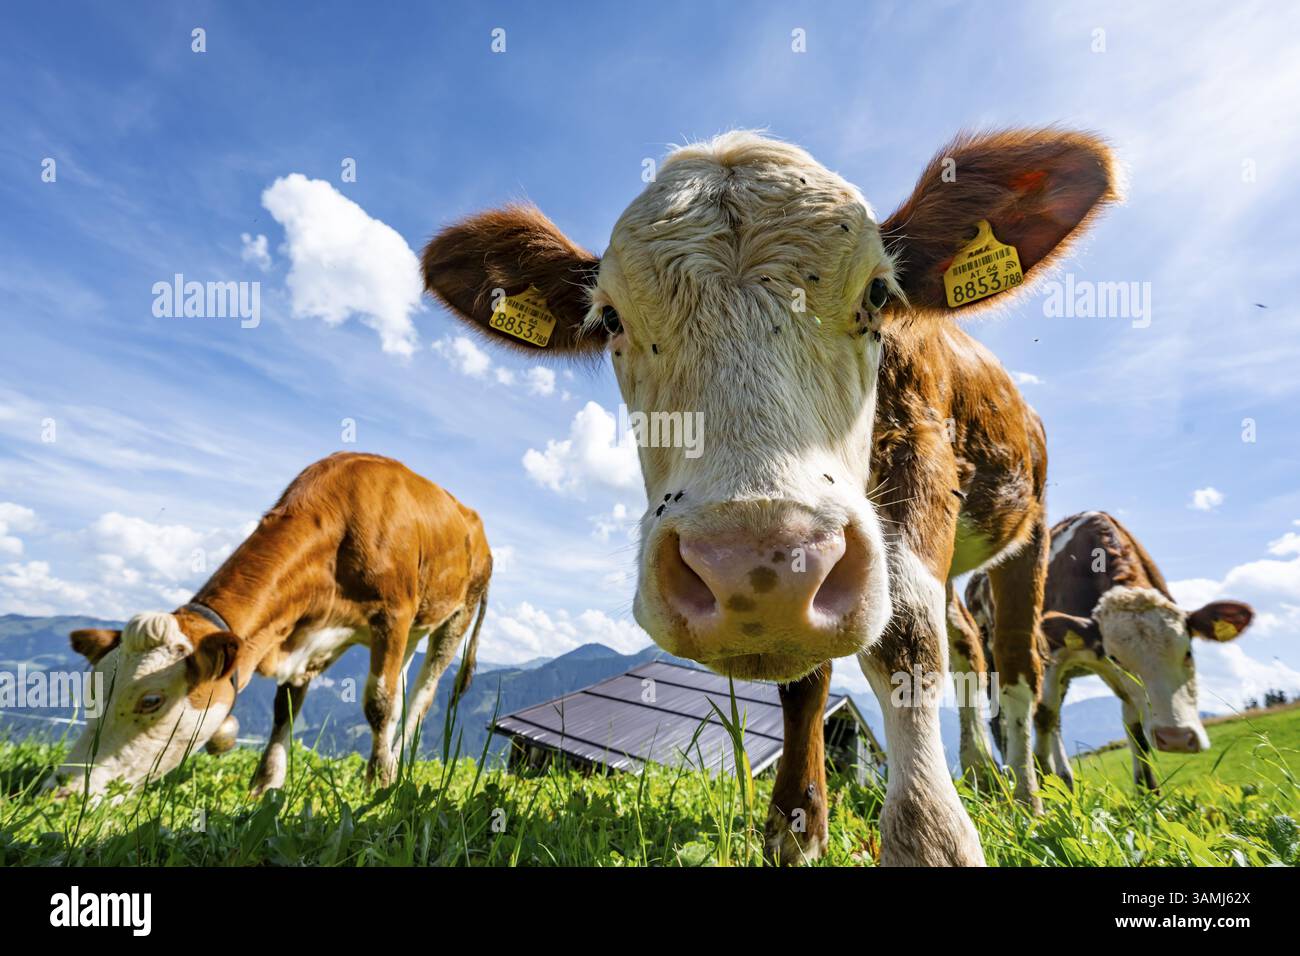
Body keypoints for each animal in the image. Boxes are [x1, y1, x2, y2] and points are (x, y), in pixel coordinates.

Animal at [46, 452, 492, 797]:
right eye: (92, 689)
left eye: (151, 700)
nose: (64, 789)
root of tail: (474, 522)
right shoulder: (310, 634)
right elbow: (286, 708)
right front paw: (265, 785)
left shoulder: (392, 616)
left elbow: (379, 705)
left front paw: (378, 782)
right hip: (415, 629)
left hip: (457, 615)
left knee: (419, 697)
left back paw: (395, 763)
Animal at [421, 129, 1117, 865]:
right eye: (610, 319)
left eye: (878, 293)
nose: (747, 564)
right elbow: (806, 681)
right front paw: (796, 827)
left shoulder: (922, 457)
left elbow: (905, 635)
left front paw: (929, 839)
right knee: (968, 645)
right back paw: (983, 775)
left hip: (1030, 526)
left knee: (1014, 663)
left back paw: (1026, 796)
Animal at [965, 510, 1254, 790]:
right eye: (1117, 658)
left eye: (1188, 652)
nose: (1177, 738)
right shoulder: (1052, 656)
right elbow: (1043, 715)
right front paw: (1040, 778)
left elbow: (1134, 727)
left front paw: (1148, 792)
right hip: (992, 662)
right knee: (1005, 720)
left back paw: (1065, 779)